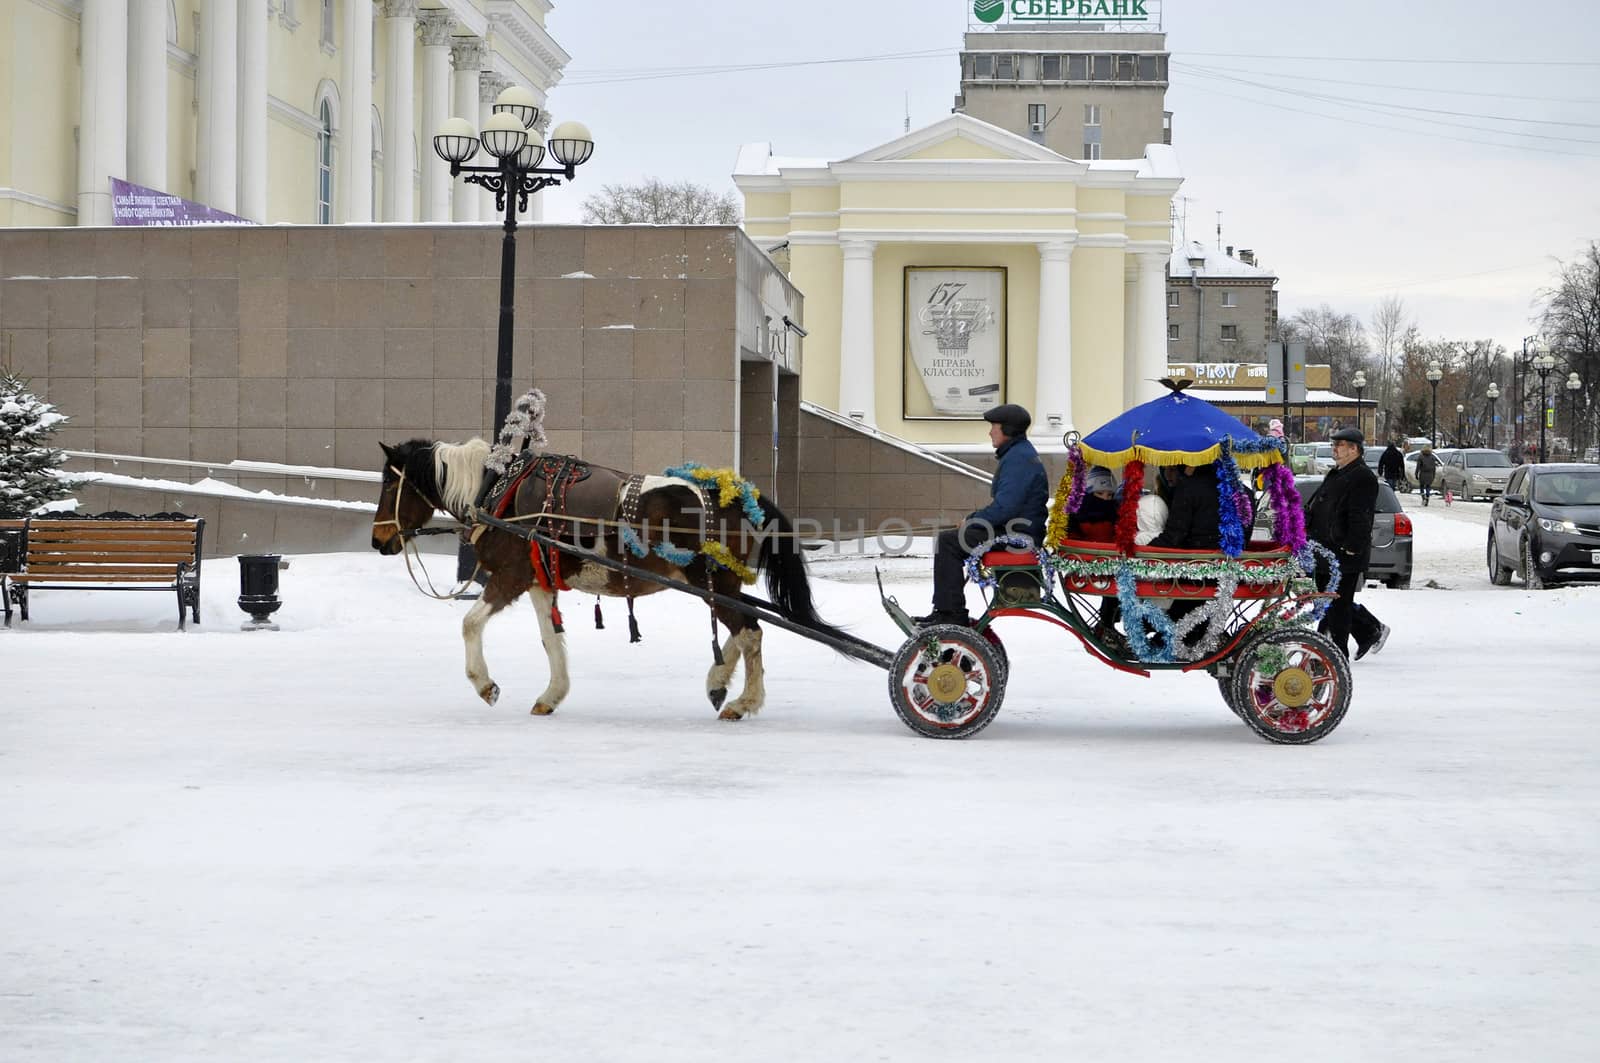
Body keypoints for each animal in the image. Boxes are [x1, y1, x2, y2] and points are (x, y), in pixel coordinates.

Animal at [374, 435, 851, 723]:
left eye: (389, 486)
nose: (379, 539)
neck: (497, 491)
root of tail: (738, 495)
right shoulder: (539, 579)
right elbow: (550, 639)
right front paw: (552, 694)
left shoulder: (509, 577)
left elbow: (470, 623)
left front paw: (485, 685)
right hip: (716, 584)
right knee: (744, 627)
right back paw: (718, 683)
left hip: (710, 579)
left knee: (749, 631)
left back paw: (741, 701)